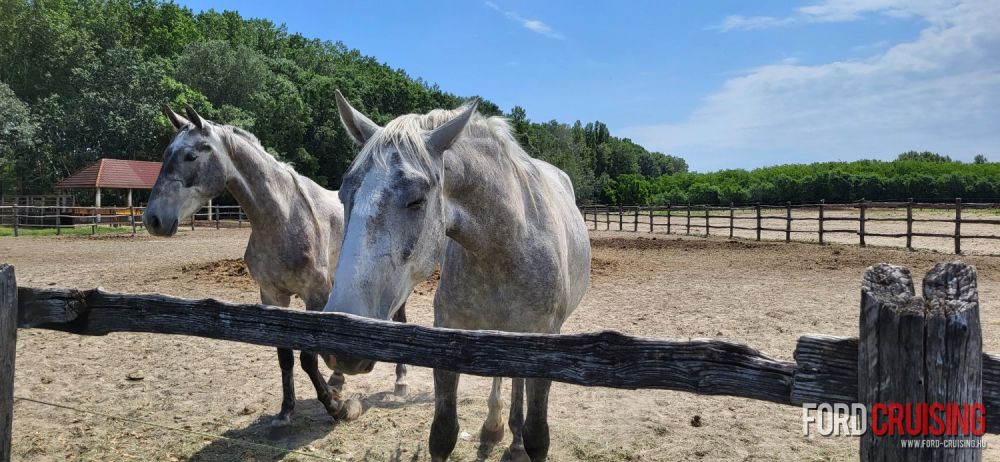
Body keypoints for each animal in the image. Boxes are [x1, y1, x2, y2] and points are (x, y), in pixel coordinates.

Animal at [141, 106, 406, 424]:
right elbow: (285, 355)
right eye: (166, 153)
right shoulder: (272, 296)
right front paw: (286, 410)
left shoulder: (315, 296)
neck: (285, 218)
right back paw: (338, 379)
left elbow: (307, 357)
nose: (153, 219)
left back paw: (400, 381)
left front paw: (335, 406)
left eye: (190, 156)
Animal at [324, 91, 588, 462]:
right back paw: (494, 426)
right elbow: (443, 434)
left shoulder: (545, 346)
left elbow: (538, 436)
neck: (509, 244)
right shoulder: (449, 339)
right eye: (343, 193)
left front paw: (522, 440)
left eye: (416, 200)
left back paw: (513, 439)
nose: (342, 339)